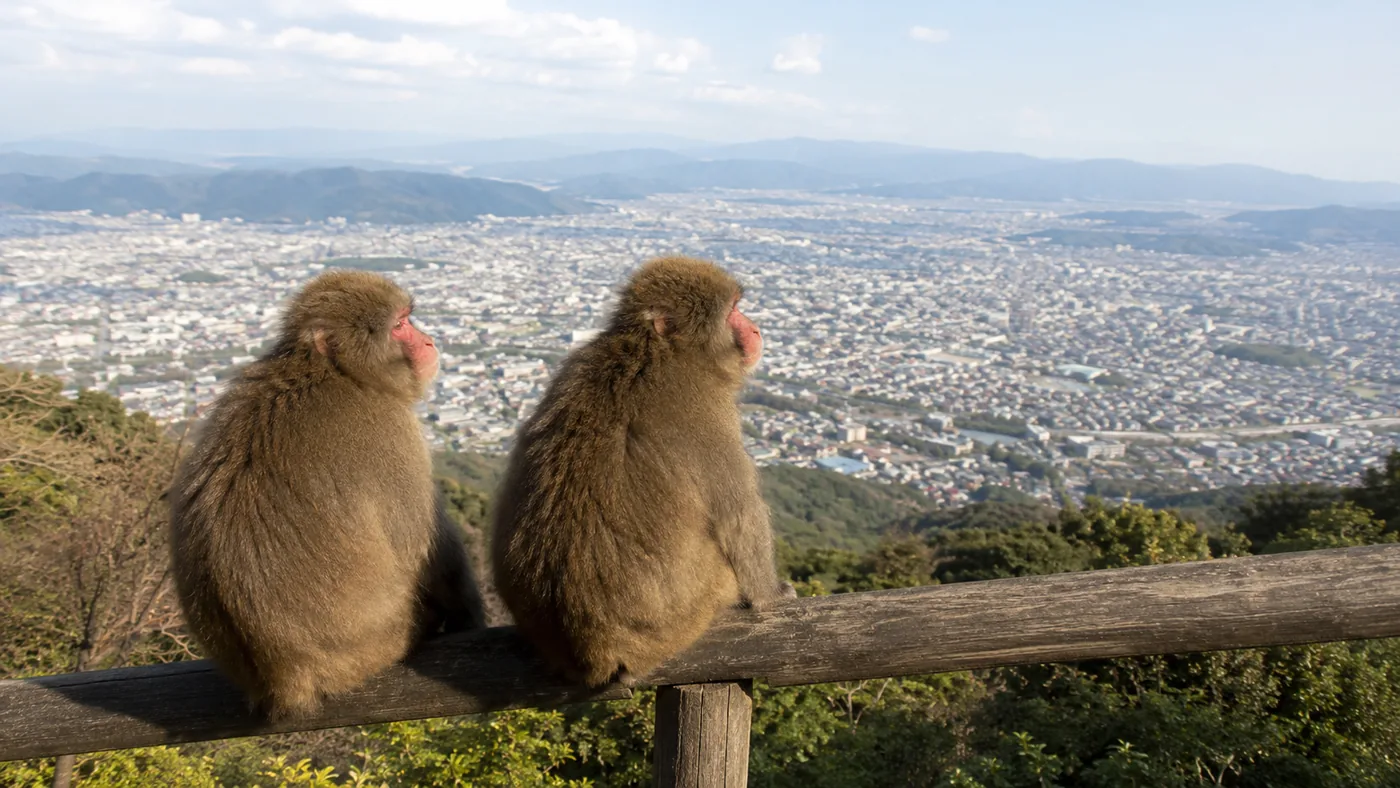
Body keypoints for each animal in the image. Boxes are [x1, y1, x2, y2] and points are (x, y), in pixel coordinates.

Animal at [168, 269, 484, 720]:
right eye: (400, 325)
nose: (428, 341)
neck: (333, 371)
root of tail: (285, 678)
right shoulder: (390, 432)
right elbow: (426, 552)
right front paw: (469, 616)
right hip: (379, 643)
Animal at [491, 255, 796, 689]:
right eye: (734, 311)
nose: (754, 328)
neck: (653, 350)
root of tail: (596, 652)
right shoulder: (708, 412)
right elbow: (740, 518)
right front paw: (772, 594)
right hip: (690, 609)